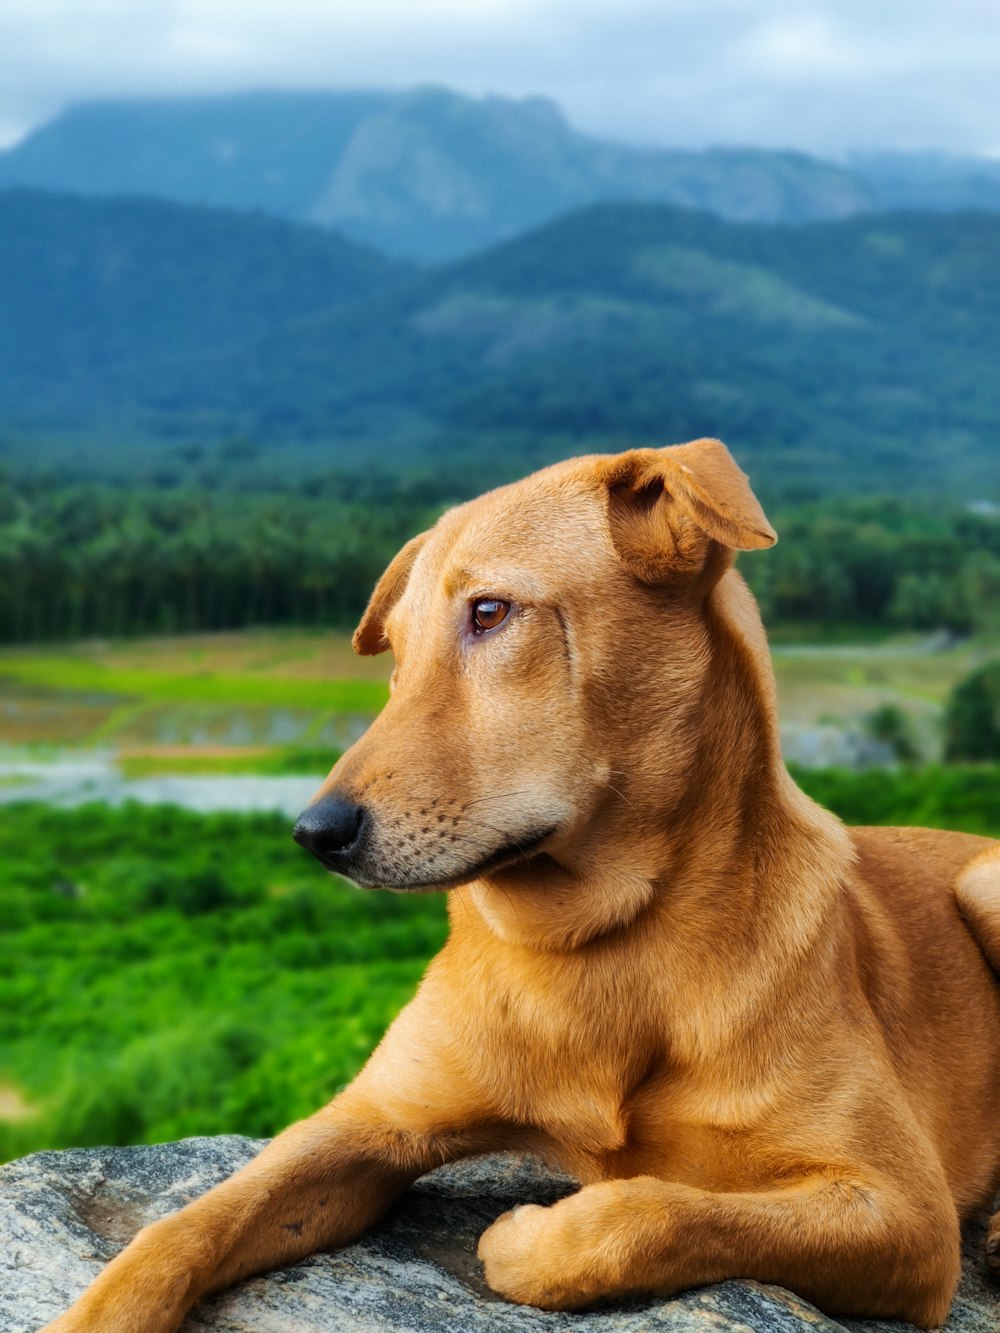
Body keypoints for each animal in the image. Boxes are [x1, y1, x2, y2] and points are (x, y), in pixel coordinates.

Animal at [45, 442, 1000, 1327]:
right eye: (394, 654)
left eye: (491, 612)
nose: (316, 834)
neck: (602, 941)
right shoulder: (368, 1119)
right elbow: (188, 1221)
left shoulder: (902, 1211)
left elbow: (654, 1213)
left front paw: (532, 1238)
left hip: (985, 881)